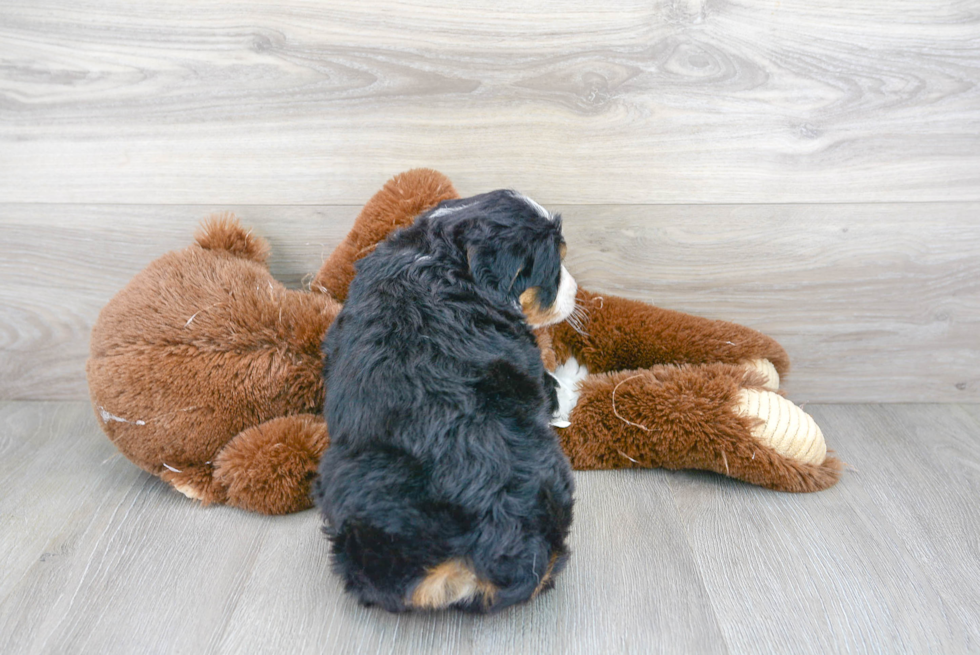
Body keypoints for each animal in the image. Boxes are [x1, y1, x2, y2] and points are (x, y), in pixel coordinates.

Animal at [314, 190, 580, 616]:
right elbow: (555, 385)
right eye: (554, 267)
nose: (576, 290)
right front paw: (574, 372)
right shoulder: (532, 367)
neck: (443, 257)